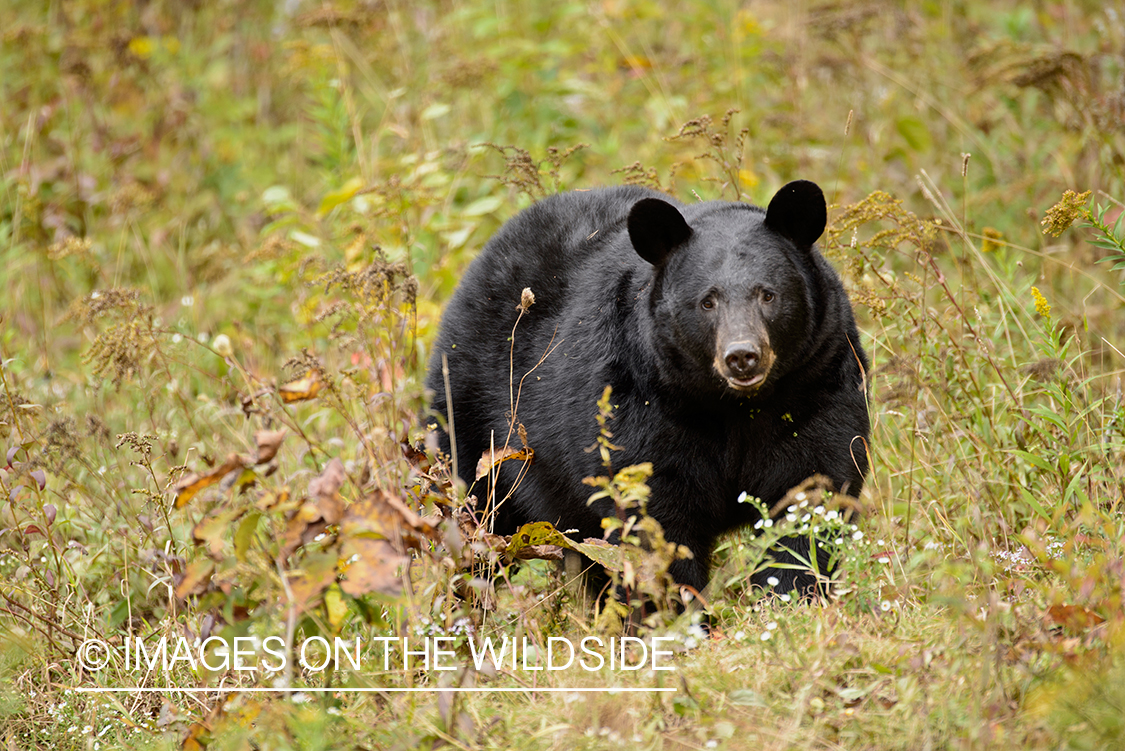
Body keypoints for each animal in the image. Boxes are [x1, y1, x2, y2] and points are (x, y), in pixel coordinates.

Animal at [425, 180, 869, 596]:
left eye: (768, 294)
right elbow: (655, 516)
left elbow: (811, 492)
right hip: (475, 418)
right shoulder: (640, 403)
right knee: (474, 514)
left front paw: (792, 595)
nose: (742, 356)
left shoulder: (817, 383)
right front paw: (673, 610)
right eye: (707, 302)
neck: (735, 406)